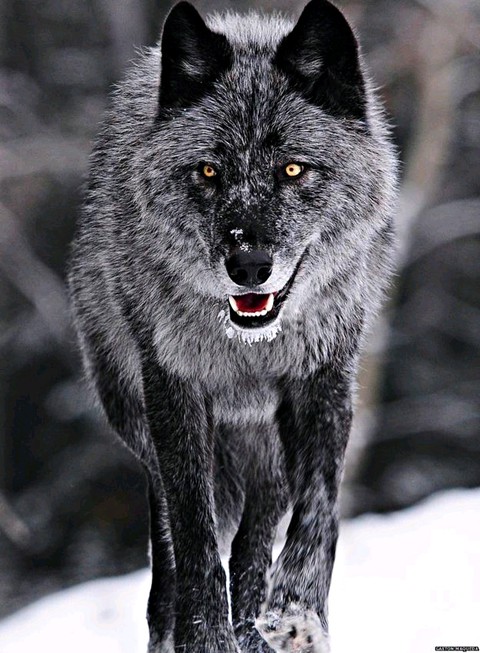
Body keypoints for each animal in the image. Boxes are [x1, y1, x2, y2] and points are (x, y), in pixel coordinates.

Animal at [68, 0, 397, 651]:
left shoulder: (323, 381)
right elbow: (193, 533)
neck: (249, 346)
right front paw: (204, 636)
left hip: (263, 444)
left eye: (293, 168)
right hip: (137, 416)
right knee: (177, 542)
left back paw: (253, 621)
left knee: (257, 530)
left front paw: (297, 612)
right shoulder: (174, 391)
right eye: (208, 171)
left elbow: (320, 504)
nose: (248, 265)